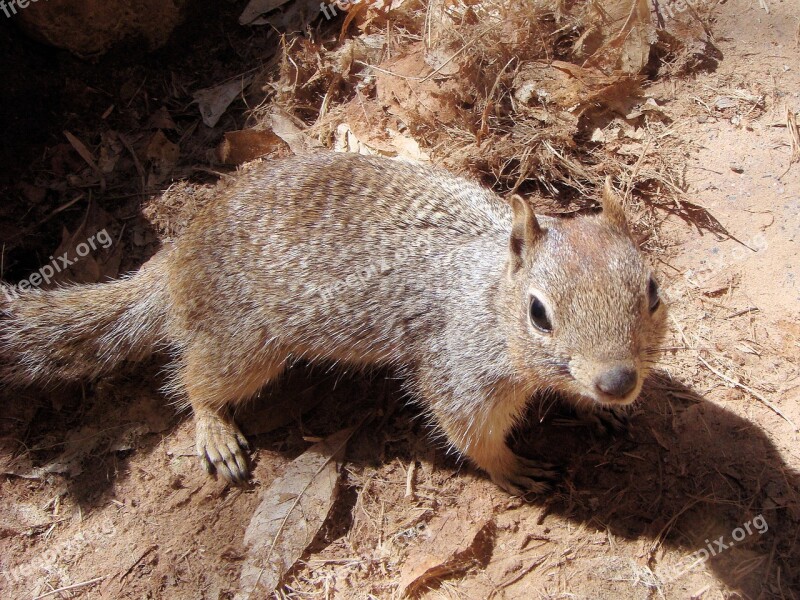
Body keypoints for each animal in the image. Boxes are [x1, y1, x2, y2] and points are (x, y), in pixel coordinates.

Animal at [0, 152, 664, 494]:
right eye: (538, 314)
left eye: (653, 290)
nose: (617, 382)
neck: (487, 293)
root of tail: (176, 257)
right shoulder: (459, 368)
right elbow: (469, 431)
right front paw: (511, 468)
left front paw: (598, 410)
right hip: (244, 343)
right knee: (196, 380)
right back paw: (215, 429)